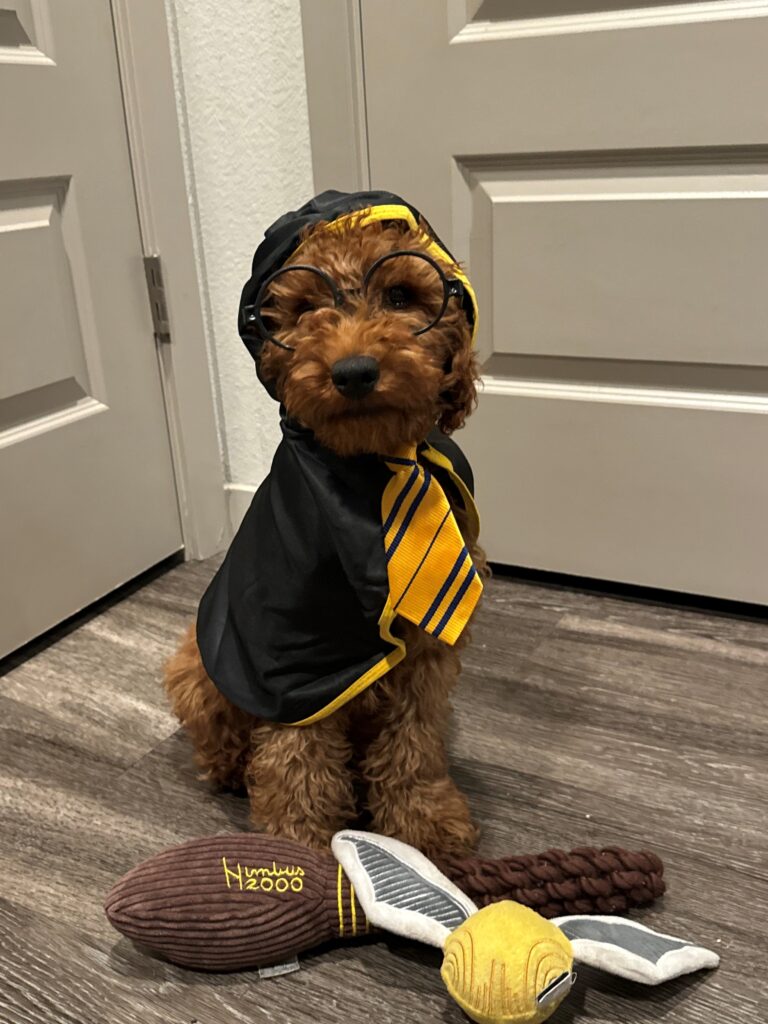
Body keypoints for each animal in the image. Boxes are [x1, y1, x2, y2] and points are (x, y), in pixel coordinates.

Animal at [165, 190, 489, 856]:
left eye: (400, 296)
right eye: (305, 307)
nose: (354, 371)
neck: (373, 467)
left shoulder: (424, 655)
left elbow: (414, 741)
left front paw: (422, 821)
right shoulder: (293, 654)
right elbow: (298, 753)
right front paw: (298, 844)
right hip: (194, 661)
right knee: (224, 741)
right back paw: (232, 770)